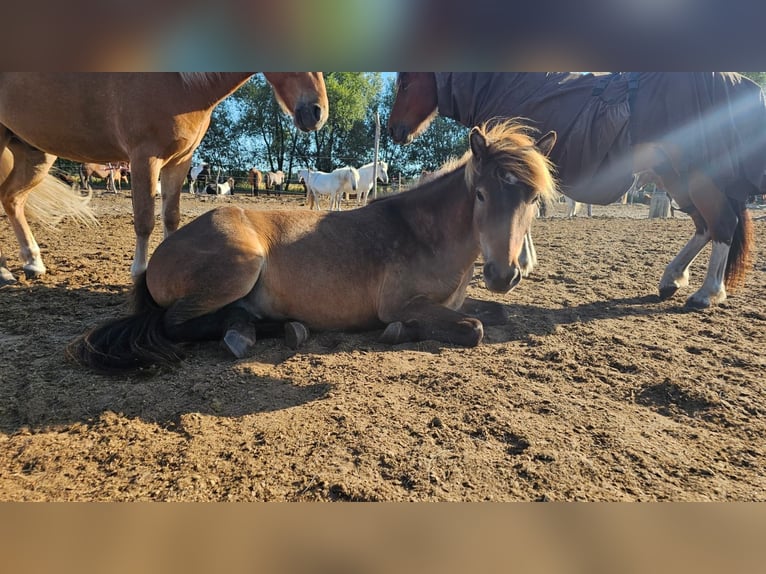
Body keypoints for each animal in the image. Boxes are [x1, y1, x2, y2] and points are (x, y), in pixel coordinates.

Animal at [0, 72, 328, 285]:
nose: (317, 112)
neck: (176, 82)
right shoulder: (144, 158)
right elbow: (145, 220)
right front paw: (139, 273)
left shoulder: (179, 161)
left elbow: (171, 216)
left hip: (35, 155)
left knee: (12, 200)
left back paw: (32, 263)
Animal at [68, 120, 557, 372]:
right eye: (481, 194)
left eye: (533, 199)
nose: (503, 274)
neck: (422, 234)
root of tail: (156, 260)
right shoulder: (400, 304)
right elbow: (472, 328)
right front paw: (401, 332)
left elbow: (496, 314)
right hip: (240, 266)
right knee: (176, 323)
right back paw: (253, 330)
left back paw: (272, 327)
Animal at [388, 72, 766, 308]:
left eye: (404, 82)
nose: (394, 130)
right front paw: (525, 261)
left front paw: (523, 261)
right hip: (677, 178)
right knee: (704, 227)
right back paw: (672, 278)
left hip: (699, 176)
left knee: (722, 224)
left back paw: (707, 293)